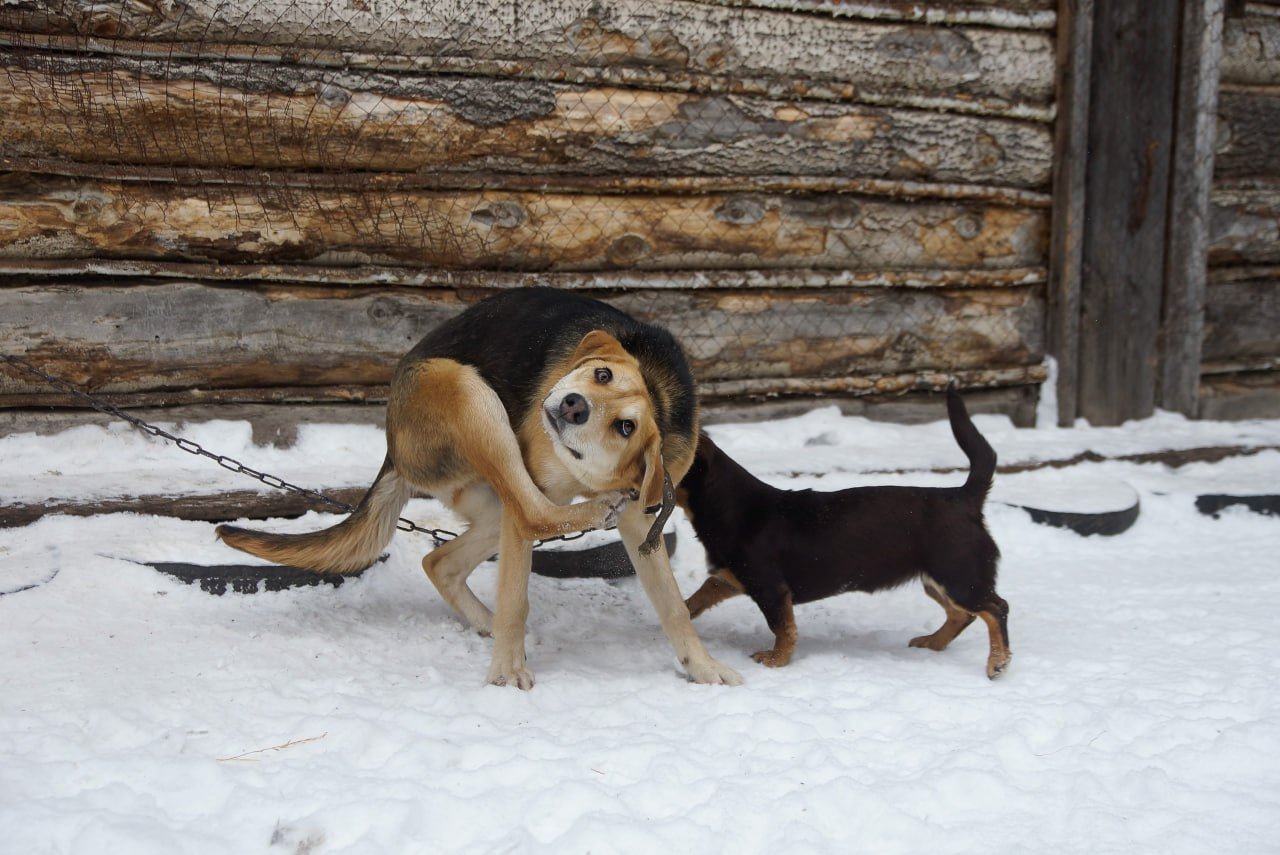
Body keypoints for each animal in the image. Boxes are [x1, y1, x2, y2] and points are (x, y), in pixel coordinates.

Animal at [217, 286, 742, 686]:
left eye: (626, 427)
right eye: (602, 373)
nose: (574, 406)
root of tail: (393, 448)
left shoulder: (641, 523)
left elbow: (673, 607)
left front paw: (703, 667)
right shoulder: (537, 494)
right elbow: (516, 597)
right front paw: (506, 674)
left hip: (490, 504)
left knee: (441, 560)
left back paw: (485, 618)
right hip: (470, 396)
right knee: (532, 514)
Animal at [680, 389, 1008, 680]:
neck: (730, 505)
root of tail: (964, 497)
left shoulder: (771, 588)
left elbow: (782, 628)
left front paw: (776, 660)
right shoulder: (732, 578)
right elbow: (701, 594)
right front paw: (683, 610)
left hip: (958, 576)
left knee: (996, 608)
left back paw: (998, 661)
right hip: (937, 579)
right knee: (962, 614)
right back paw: (934, 643)